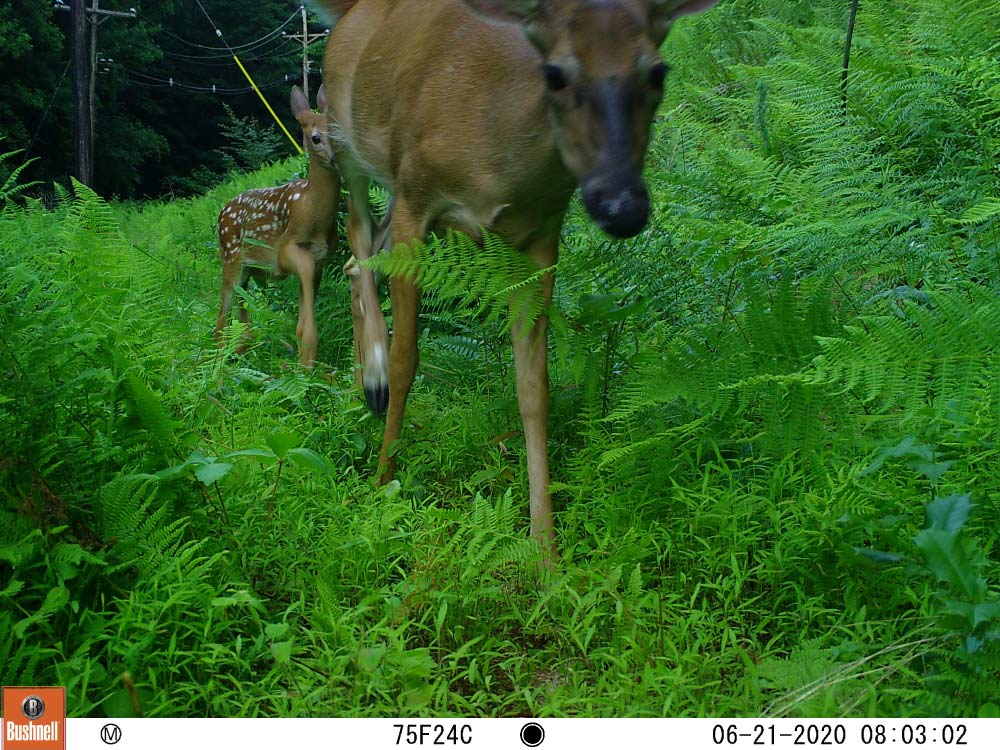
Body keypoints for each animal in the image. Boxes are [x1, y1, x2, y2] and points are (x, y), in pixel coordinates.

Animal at [217, 85, 388, 414]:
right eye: (316, 137)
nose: (338, 159)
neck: (310, 212)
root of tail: (220, 213)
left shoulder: (319, 261)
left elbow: (301, 318)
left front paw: (303, 369)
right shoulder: (290, 254)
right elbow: (306, 327)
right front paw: (305, 375)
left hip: (248, 269)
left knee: (242, 314)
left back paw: (240, 355)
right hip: (229, 257)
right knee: (222, 315)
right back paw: (218, 371)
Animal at [320, 0, 720, 552]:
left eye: (658, 71)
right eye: (554, 72)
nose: (621, 204)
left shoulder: (541, 236)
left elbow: (534, 386)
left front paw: (544, 545)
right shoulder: (417, 200)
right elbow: (408, 359)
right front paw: (383, 482)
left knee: (360, 255)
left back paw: (362, 381)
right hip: (347, 140)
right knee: (356, 237)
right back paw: (373, 379)